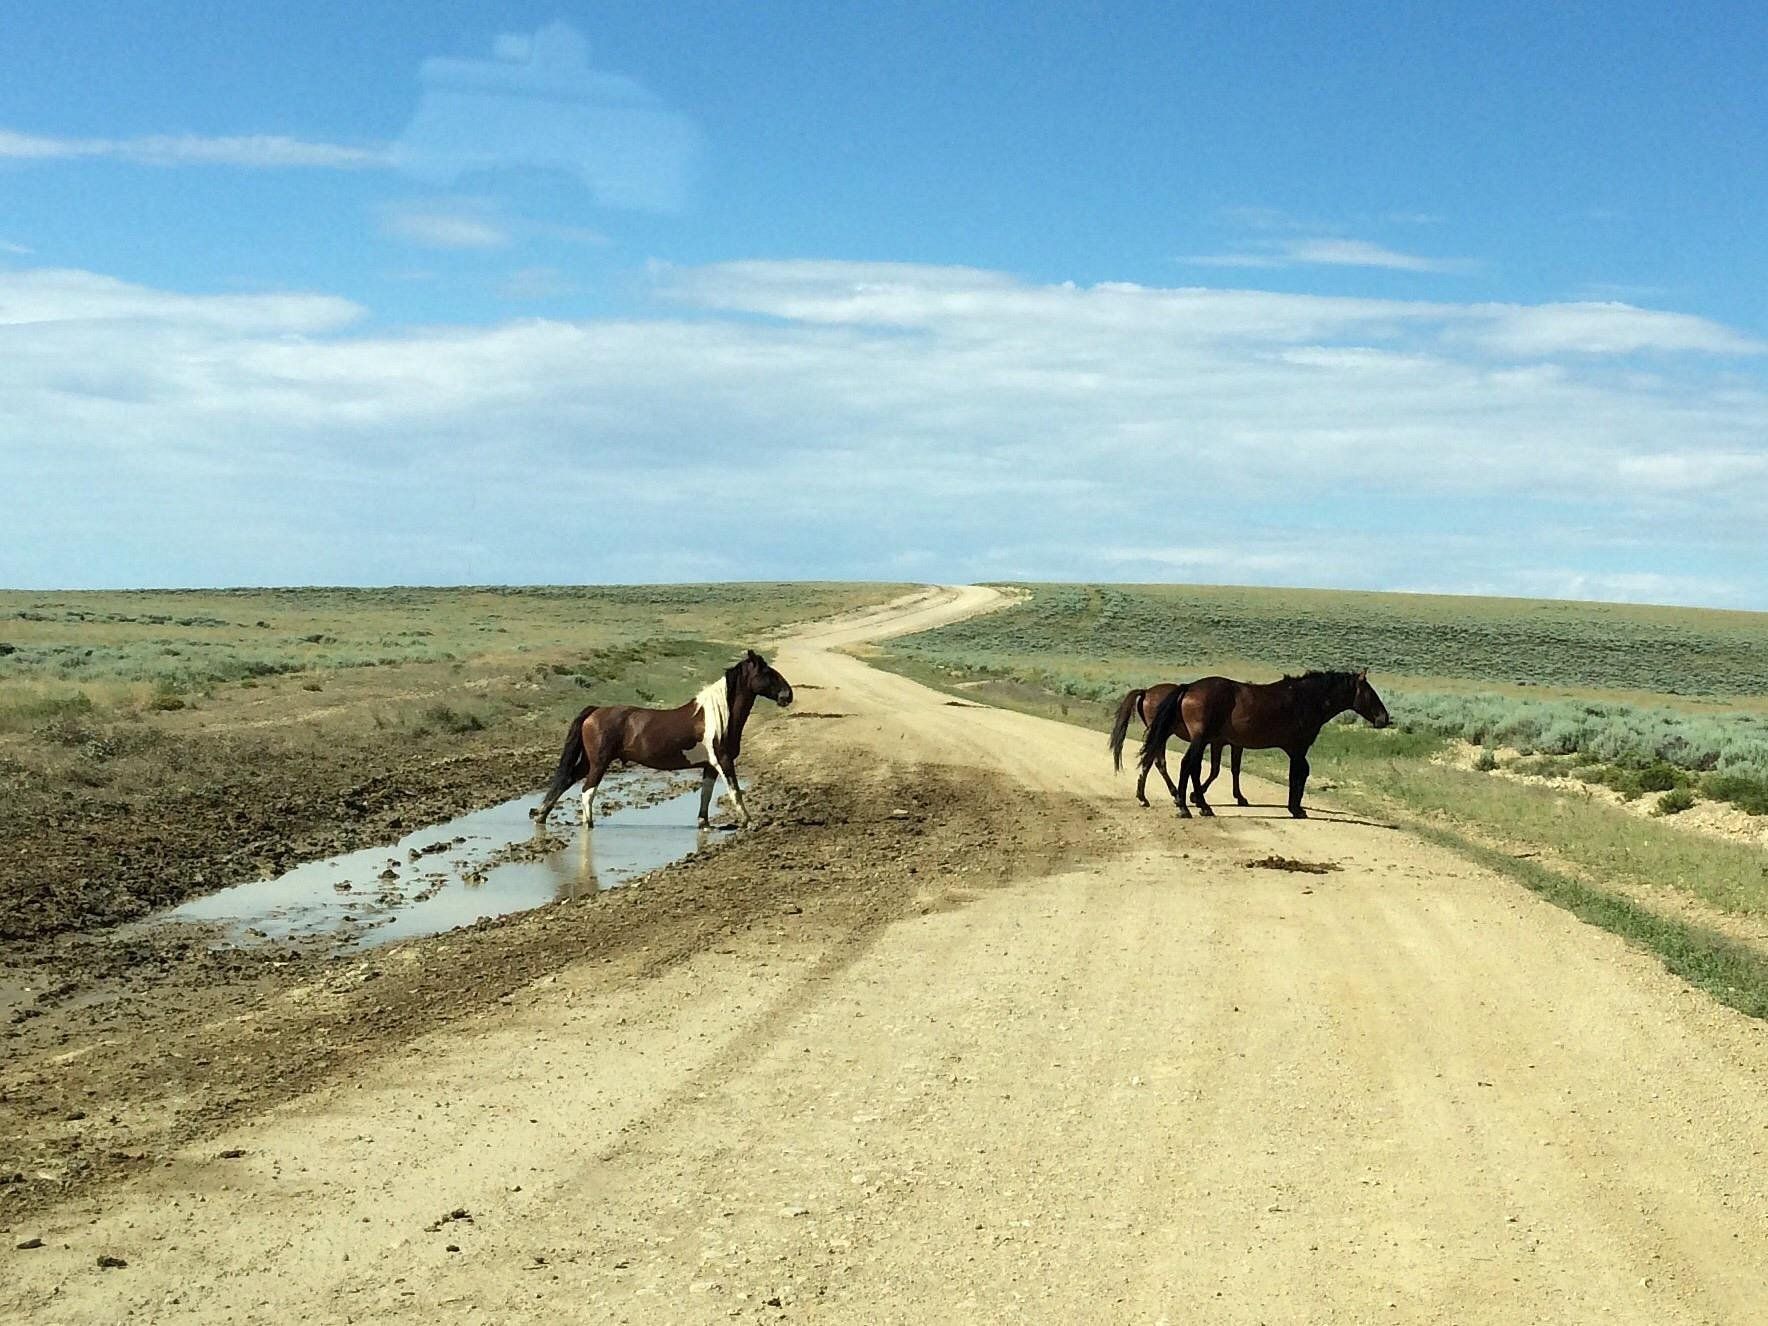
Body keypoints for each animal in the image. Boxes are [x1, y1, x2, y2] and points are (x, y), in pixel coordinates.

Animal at [531, 650, 794, 829]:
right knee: (587, 791)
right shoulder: (724, 761)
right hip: (599, 762)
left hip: (589, 761)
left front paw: (704, 823)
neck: (718, 715)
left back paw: (542, 815)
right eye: (766, 673)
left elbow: (706, 794)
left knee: (566, 780)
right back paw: (588, 823)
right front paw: (749, 821)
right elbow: (735, 791)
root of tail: (595, 711)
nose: (787, 695)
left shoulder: (710, 766)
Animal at [1107, 684, 1246, 809]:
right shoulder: (1227, 744)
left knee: (1152, 762)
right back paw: (1173, 795)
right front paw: (1239, 797)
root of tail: (1146, 692)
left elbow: (1222, 769)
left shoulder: (1219, 743)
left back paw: (1145, 798)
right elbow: (1225, 769)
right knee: (1157, 763)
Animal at [1138, 670, 1390, 819]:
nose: (1384, 718)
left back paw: (1195, 804)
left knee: (1189, 766)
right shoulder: (1298, 749)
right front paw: (1296, 809)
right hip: (1200, 739)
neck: (1306, 699)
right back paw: (1186, 806)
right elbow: (1298, 774)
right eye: (1370, 692)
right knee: (1187, 765)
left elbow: (1300, 773)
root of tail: (1188, 688)